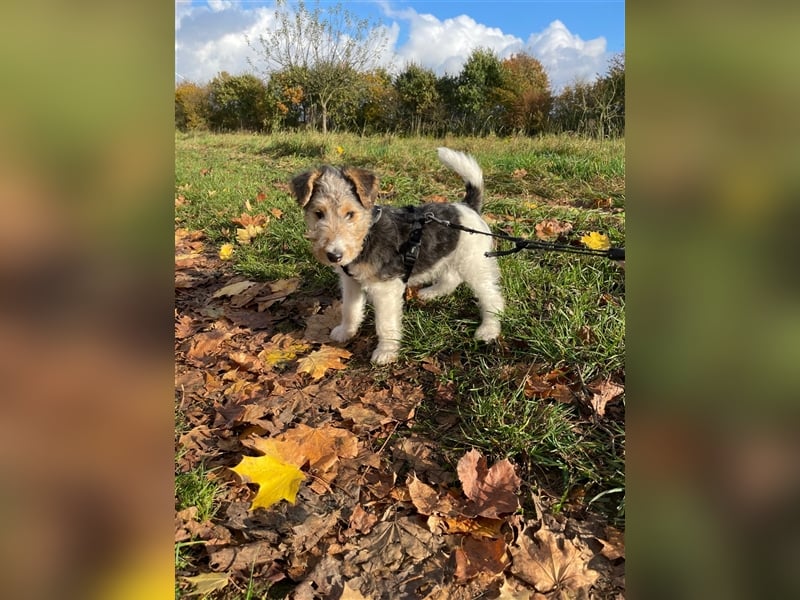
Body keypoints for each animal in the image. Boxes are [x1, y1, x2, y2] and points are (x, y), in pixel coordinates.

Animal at [290, 149, 504, 366]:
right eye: (318, 213)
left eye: (350, 213)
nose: (334, 255)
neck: (367, 234)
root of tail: (466, 206)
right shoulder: (351, 282)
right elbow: (350, 310)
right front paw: (345, 332)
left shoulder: (384, 289)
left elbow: (385, 324)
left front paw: (386, 352)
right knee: (451, 278)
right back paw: (431, 293)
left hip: (474, 263)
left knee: (492, 298)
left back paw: (488, 330)